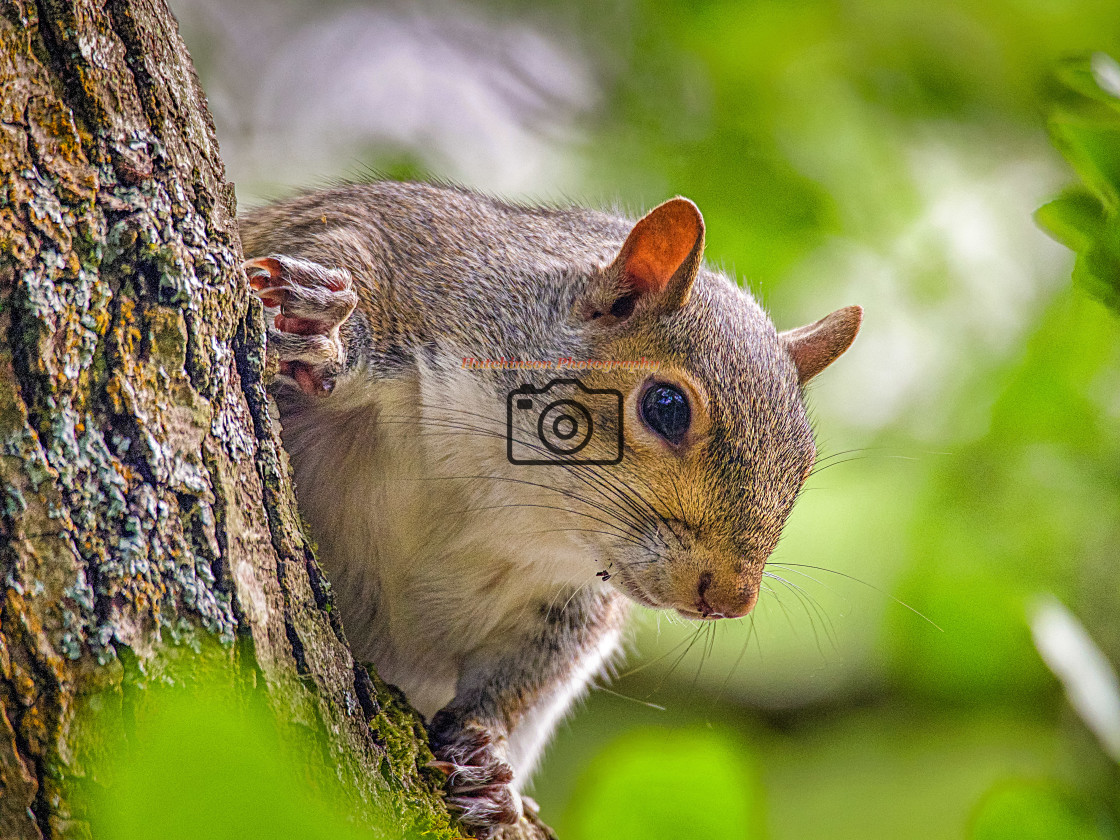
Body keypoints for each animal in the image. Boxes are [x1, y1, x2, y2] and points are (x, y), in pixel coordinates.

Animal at [240, 182, 860, 837]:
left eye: (804, 463)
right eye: (666, 406)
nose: (732, 599)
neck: (507, 495)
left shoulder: (574, 605)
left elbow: (525, 680)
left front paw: (486, 766)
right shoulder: (406, 251)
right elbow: (347, 261)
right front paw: (320, 326)